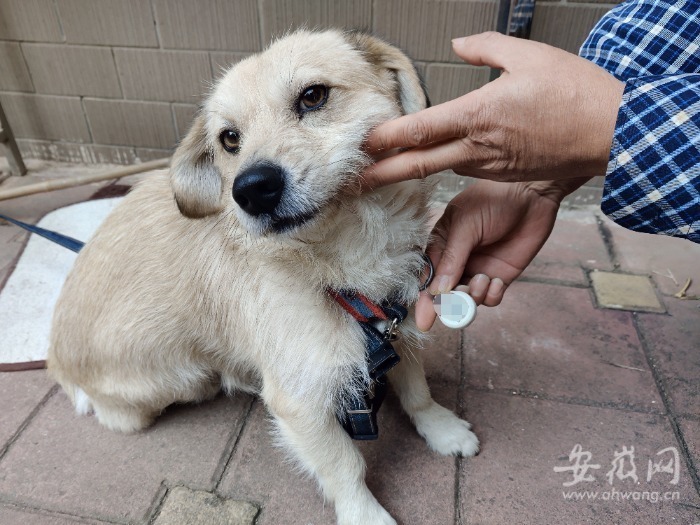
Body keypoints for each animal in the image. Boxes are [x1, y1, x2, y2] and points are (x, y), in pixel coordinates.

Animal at [46, 29, 478, 524]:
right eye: (229, 139)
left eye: (313, 96)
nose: (251, 190)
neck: (343, 260)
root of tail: (55, 359)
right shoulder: (300, 402)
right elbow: (345, 466)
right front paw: (365, 516)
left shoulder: (395, 331)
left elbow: (417, 390)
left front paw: (442, 429)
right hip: (178, 381)